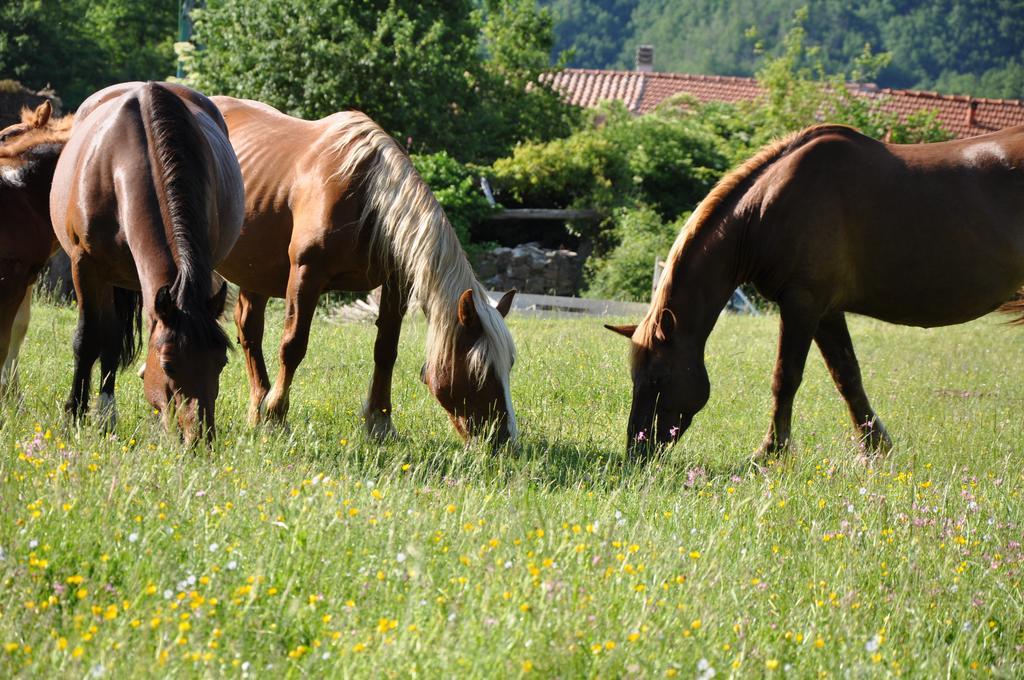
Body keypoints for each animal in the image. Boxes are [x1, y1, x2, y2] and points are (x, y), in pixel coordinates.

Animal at [50, 82, 245, 444]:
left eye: (221, 362)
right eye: (168, 365)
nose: (198, 438)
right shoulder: (85, 266)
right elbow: (87, 339)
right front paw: (75, 415)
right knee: (107, 337)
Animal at [209, 95, 520, 446]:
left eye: (509, 364)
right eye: (480, 370)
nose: (504, 440)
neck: (366, 196)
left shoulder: (396, 283)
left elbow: (386, 350)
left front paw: (380, 423)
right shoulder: (306, 274)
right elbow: (293, 346)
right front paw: (276, 417)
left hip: (255, 273)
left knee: (249, 331)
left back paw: (255, 411)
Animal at [606, 124, 1024, 458]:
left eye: (658, 378)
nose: (637, 450)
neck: (766, 207)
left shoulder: (802, 304)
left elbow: (785, 378)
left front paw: (770, 453)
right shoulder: (826, 312)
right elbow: (847, 376)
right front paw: (875, 449)